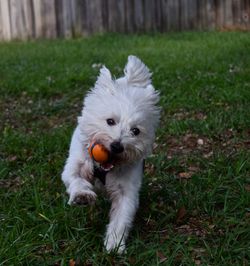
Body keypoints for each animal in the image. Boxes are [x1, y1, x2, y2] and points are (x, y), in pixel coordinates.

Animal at [61, 55, 161, 252]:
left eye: (136, 131)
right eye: (110, 121)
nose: (117, 146)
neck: (105, 167)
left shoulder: (127, 190)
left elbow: (122, 216)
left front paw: (114, 244)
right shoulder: (75, 165)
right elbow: (76, 178)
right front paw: (82, 195)